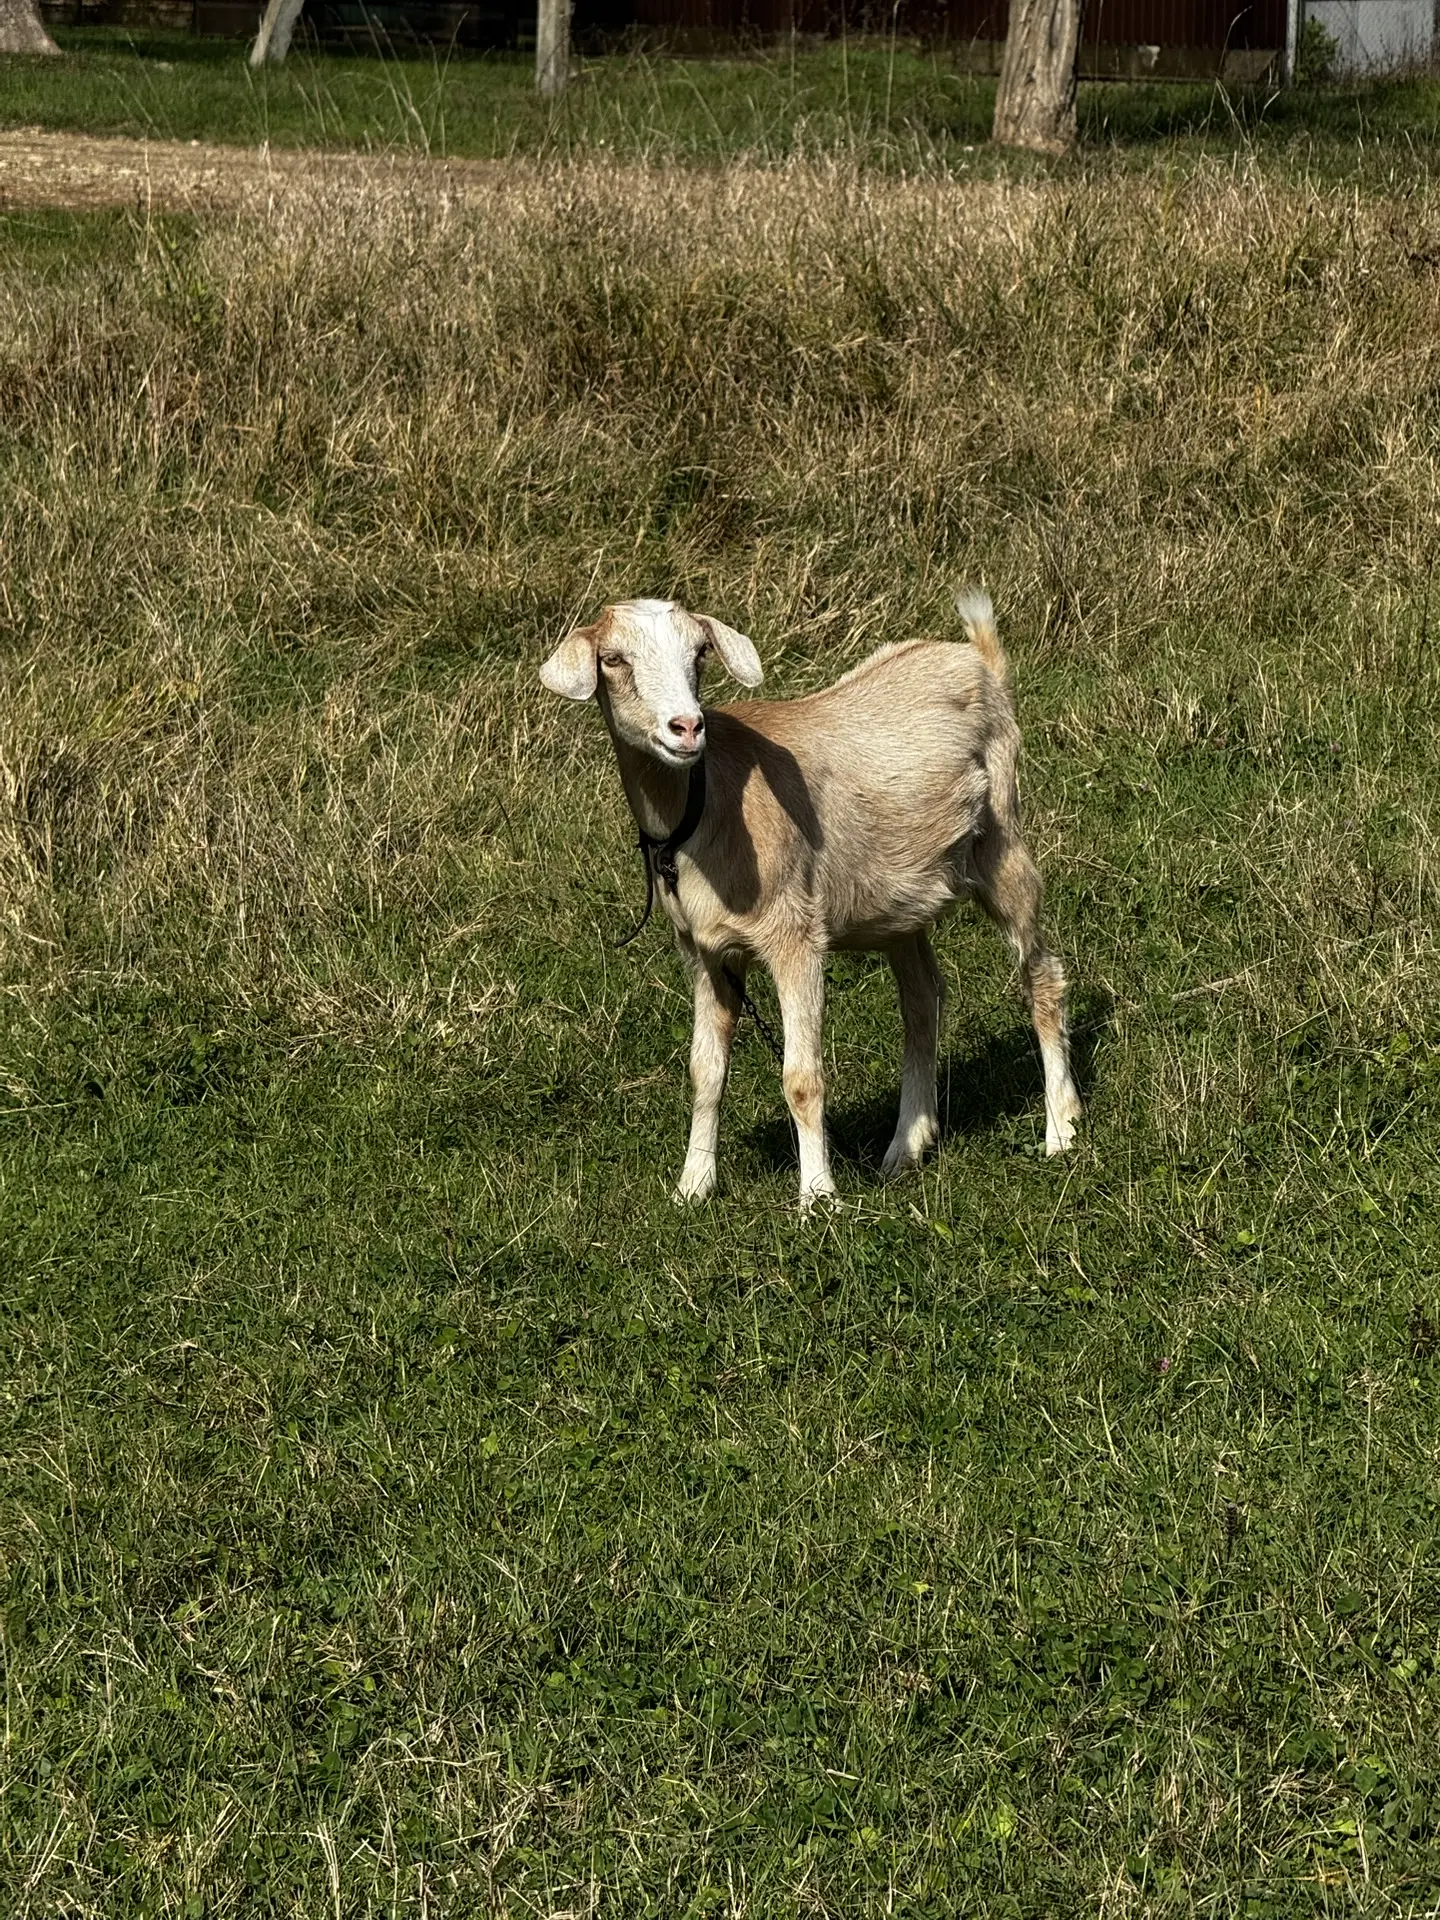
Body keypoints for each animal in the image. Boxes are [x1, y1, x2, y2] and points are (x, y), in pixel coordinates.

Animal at [539, 593, 1081, 1209]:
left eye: (699, 653)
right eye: (612, 659)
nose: (687, 727)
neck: (704, 804)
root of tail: (978, 657)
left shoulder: (794, 934)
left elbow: (801, 1079)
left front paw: (819, 1199)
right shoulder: (704, 952)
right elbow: (705, 1072)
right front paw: (692, 1188)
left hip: (1002, 839)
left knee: (1042, 976)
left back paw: (1060, 1129)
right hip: (900, 900)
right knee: (923, 999)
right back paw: (905, 1146)